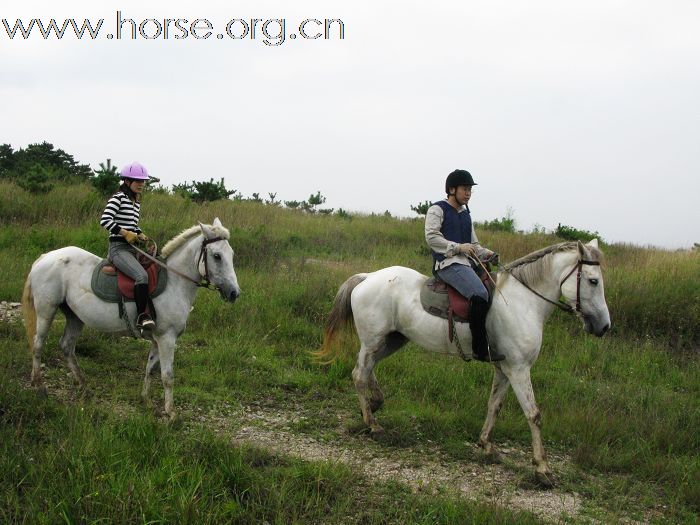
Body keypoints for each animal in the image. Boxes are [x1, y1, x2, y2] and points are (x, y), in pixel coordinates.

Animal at [21, 216, 241, 418]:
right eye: (217, 256)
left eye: (231, 254)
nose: (234, 293)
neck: (174, 282)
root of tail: (46, 257)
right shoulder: (167, 338)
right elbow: (167, 375)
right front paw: (171, 414)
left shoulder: (157, 339)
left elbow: (150, 369)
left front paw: (146, 401)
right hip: (46, 310)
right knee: (38, 344)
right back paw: (40, 387)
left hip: (75, 316)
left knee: (67, 346)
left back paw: (84, 388)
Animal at [318, 237, 608, 484]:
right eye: (593, 281)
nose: (604, 327)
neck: (522, 303)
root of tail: (367, 277)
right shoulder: (519, 369)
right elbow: (533, 414)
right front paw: (543, 469)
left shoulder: (505, 369)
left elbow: (495, 405)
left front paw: (486, 445)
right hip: (373, 340)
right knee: (359, 374)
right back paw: (372, 423)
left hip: (392, 340)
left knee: (369, 370)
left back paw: (373, 405)